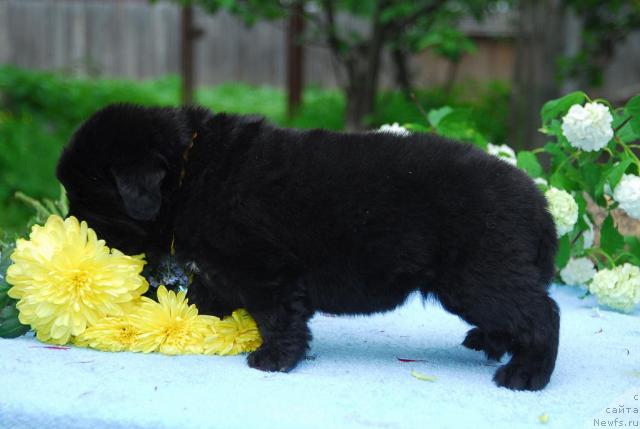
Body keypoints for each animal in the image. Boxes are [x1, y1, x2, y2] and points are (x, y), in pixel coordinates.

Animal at [58, 103, 560, 388]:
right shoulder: (224, 266)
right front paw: (186, 317)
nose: (81, 232)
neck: (191, 168)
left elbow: (277, 318)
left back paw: (526, 375)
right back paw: (491, 342)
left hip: (478, 275)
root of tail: (537, 201)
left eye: (89, 201)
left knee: (543, 314)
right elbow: (206, 293)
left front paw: (274, 359)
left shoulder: (263, 269)